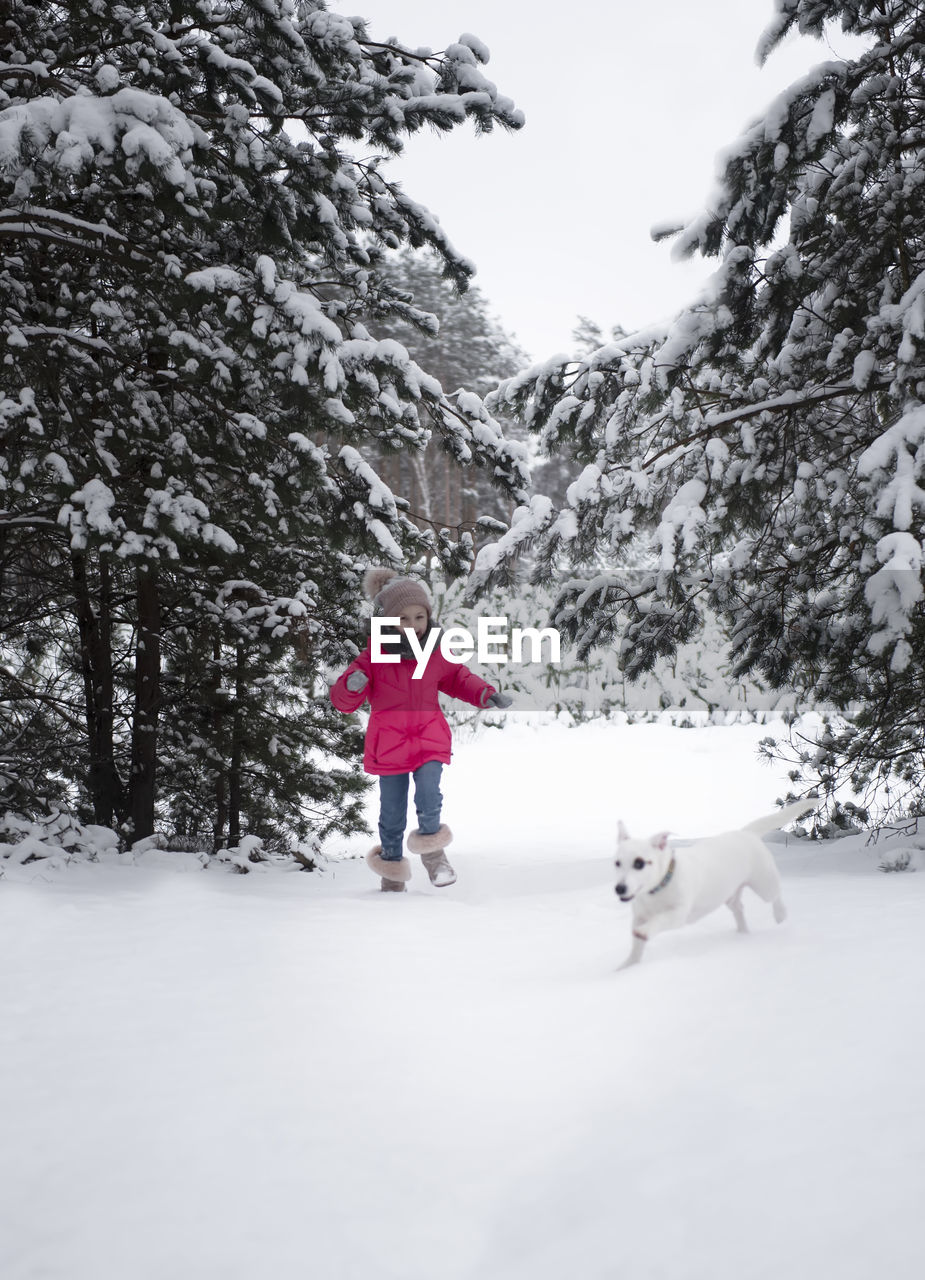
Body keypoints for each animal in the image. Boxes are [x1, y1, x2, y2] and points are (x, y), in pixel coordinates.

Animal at [614, 798, 818, 967]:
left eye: (639, 863)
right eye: (616, 863)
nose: (619, 889)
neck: (657, 889)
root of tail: (746, 833)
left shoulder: (678, 914)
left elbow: (659, 920)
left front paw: (645, 931)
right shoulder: (639, 916)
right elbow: (636, 948)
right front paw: (627, 966)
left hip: (764, 882)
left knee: (775, 895)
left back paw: (780, 914)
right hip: (730, 895)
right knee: (739, 909)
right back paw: (743, 934)